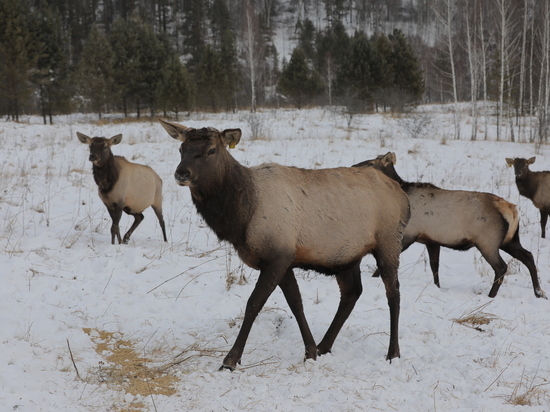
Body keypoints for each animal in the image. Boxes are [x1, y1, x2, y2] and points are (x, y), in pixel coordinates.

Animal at [157, 118, 412, 370]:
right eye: (181, 149)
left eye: (211, 150)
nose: (181, 173)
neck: (241, 217)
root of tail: (402, 194)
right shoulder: (284, 259)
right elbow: (296, 302)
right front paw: (310, 352)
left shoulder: (278, 256)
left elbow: (254, 304)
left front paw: (230, 360)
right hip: (347, 256)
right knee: (352, 293)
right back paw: (324, 345)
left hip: (389, 241)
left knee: (394, 293)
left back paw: (393, 353)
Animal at [358, 151, 548, 300]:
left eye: (370, 163)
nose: (355, 165)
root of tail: (512, 210)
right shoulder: (431, 241)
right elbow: (435, 267)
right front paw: (437, 287)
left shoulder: (408, 234)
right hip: (509, 240)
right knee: (528, 256)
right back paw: (539, 292)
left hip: (487, 241)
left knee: (501, 267)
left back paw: (491, 295)